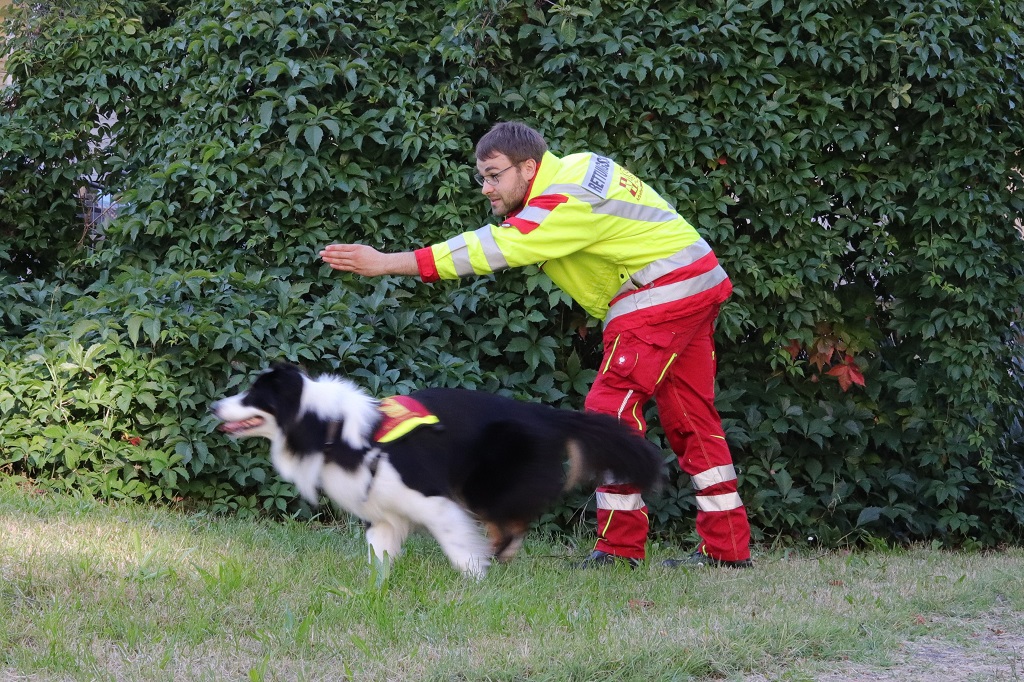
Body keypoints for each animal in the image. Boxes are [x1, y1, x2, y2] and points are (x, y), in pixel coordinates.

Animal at [214, 360, 663, 573]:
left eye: (253, 395)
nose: (214, 406)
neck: (329, 427)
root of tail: (546, 415)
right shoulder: (385, 514)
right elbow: (378, 553)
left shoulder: (431, 497)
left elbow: (457, 542)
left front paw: (473, 575)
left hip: (485, 486)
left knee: (510, 525)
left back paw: (496, 558)